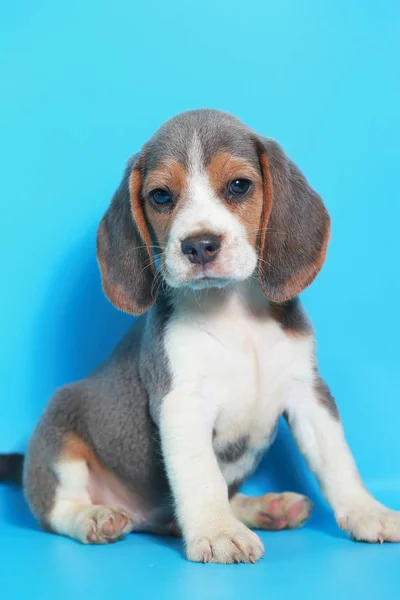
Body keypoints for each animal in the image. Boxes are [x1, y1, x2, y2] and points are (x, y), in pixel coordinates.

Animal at [0, 109, 400, 564]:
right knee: (57, 509)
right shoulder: (182, 403)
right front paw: (217, 531)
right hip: (59, 428)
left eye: (239, 185)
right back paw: (95, 517)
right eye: (160, 196)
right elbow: (201, 476)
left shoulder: (308, 394)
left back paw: (264, 508)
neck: (236, 314)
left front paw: (368, 511)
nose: (200, 245)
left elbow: (337, 462)